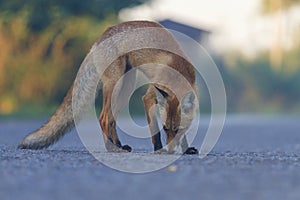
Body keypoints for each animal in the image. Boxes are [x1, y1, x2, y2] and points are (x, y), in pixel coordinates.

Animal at [17, 20, 198, 154]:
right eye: (165, 128)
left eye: (178, 130)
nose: (170, 151)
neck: (179, 70)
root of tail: (100, 38)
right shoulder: (148, 97)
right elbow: (154, 131)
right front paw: (159, 149)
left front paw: (186, 149)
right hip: (115, 84)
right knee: (104, 118)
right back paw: (112, 148)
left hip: (126, 86)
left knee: (111, 119)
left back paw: (119, 145)